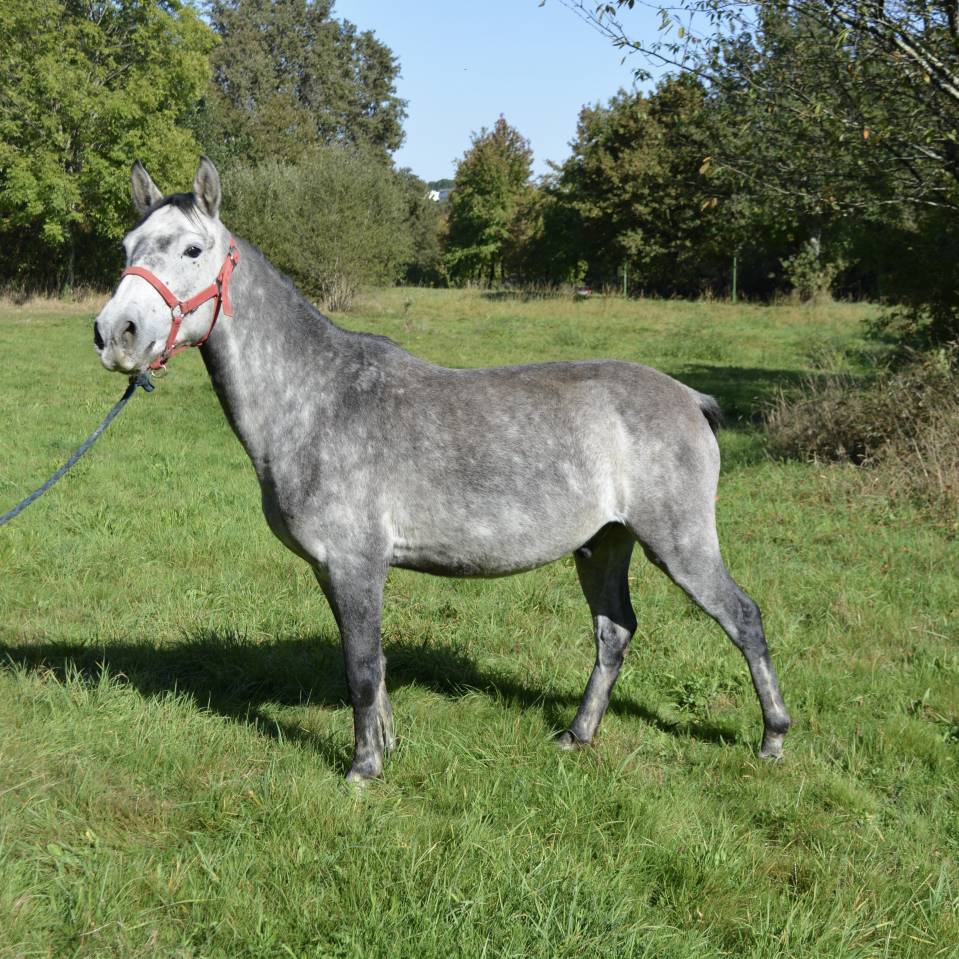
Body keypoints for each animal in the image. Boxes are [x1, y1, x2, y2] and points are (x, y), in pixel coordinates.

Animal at [93, 157, 791, 783]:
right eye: (126, 247)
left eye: (192, 249)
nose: (115, 333)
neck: (317, 398)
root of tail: (689, 397)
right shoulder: (332, 569)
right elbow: (368, 663)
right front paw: (385, 745)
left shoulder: (356, 564)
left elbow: (362, 668)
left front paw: (363, 769)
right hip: (603, 544)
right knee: (614, 633)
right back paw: (577, 734)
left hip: (679, 545)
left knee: (743, 618)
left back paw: (773, 739)